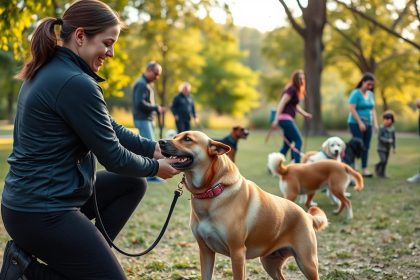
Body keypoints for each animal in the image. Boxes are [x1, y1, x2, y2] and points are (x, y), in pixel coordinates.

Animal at [159, 131, 326, 280]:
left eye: (187, 139)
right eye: (175, 136)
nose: (161, 142)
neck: (212, 191)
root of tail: (307, 216)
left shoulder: (238, 253)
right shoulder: (205, 251)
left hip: (307, 263)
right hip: (269, 262)